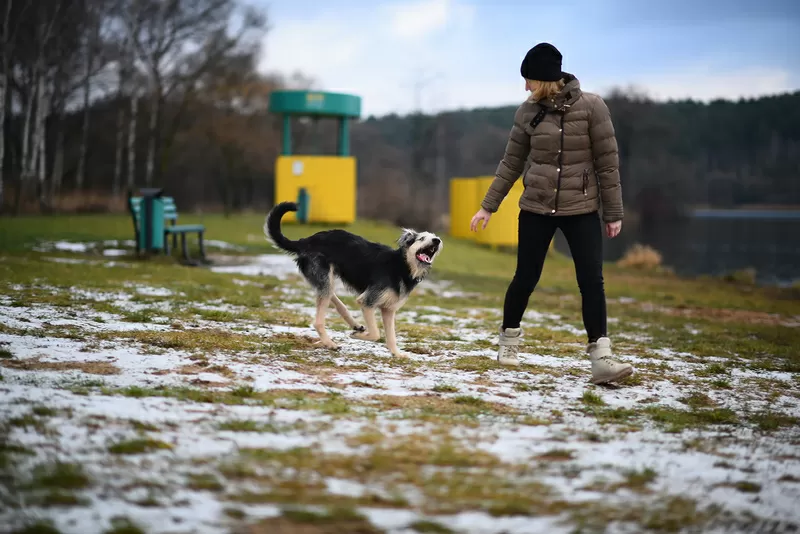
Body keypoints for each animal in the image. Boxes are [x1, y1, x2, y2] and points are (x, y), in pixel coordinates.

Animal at [264, 203, 444, 358]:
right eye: (421, 238)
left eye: (435, 237)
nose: (437, 240)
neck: (402, 266)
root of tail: (306, 241)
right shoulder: (367, 302)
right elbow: (376, 334)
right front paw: (357, 336)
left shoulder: (388, 310)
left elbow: (391, 337)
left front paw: (397, 354)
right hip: (324, 277)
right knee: (319, 321)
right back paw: (331, 343)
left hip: (325, 279)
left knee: (331, 297)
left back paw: (354, 324)